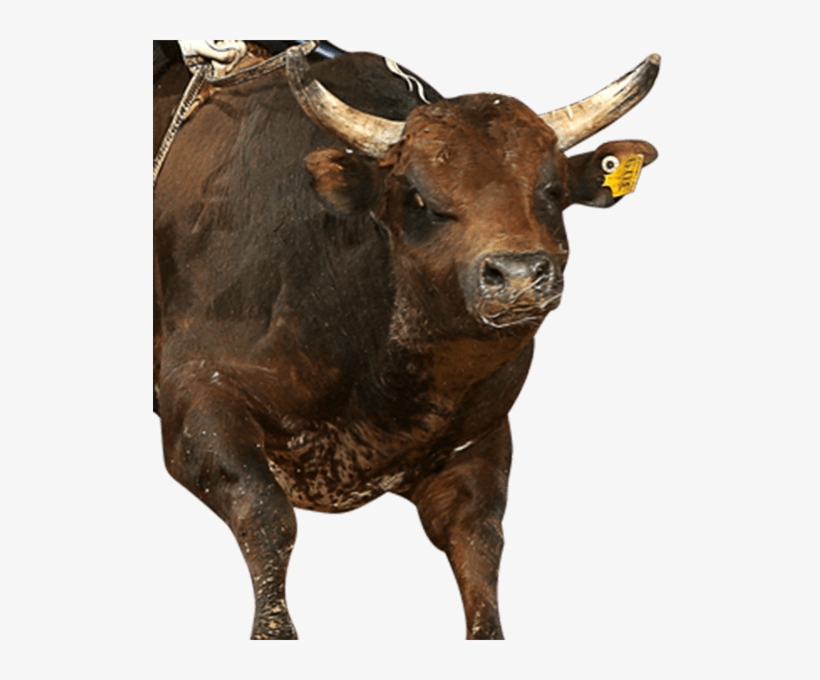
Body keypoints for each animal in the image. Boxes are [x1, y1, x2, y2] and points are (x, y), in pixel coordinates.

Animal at [153, 40, 659, 640]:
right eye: (418, 196)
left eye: (552, 190)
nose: (516, 276)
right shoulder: (195, 397)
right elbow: (266, 515)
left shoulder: (480, 441)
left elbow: (479, 547)